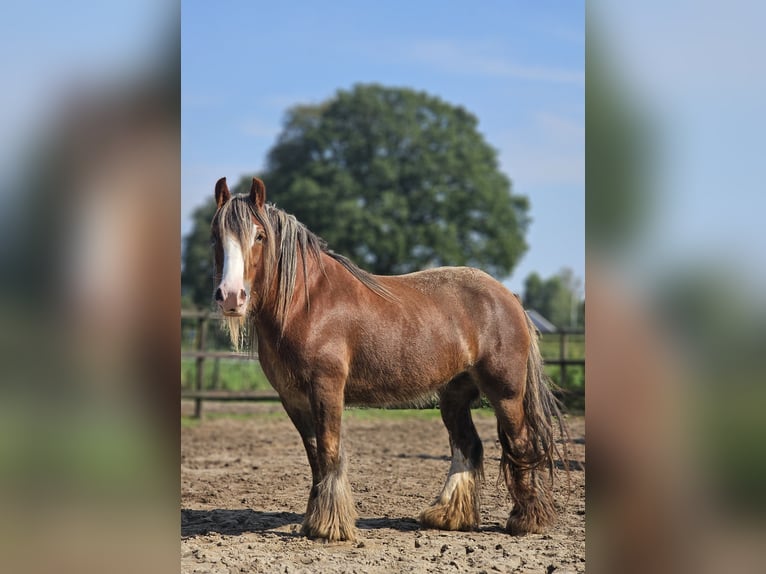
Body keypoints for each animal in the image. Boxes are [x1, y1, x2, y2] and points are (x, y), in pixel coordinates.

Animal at [210, 177, 568, 544]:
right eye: (215, 236)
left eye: (259, 236)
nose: (231, 297)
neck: (306, 303)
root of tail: (508, 296)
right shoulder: (292, 398)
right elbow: (314, 456)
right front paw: (315, 520)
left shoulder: (326, 388)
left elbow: (329, 451)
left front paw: (330, 526)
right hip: (454, 393)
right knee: (467, 445)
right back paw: (448, 516)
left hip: (505, 392)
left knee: (520, 443)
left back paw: (527, 520)